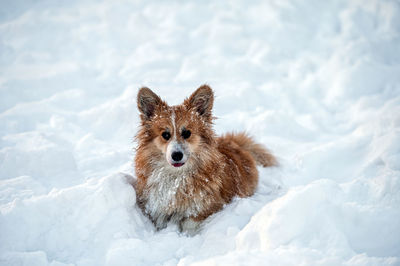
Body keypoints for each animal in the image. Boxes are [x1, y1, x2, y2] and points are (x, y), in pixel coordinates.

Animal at [134, 85, 276, 235]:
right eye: (165, 135)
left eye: (187, 133)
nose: (176, 155)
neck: (177, 177)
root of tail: (233, 143)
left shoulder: (205, 208)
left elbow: (190, 223)